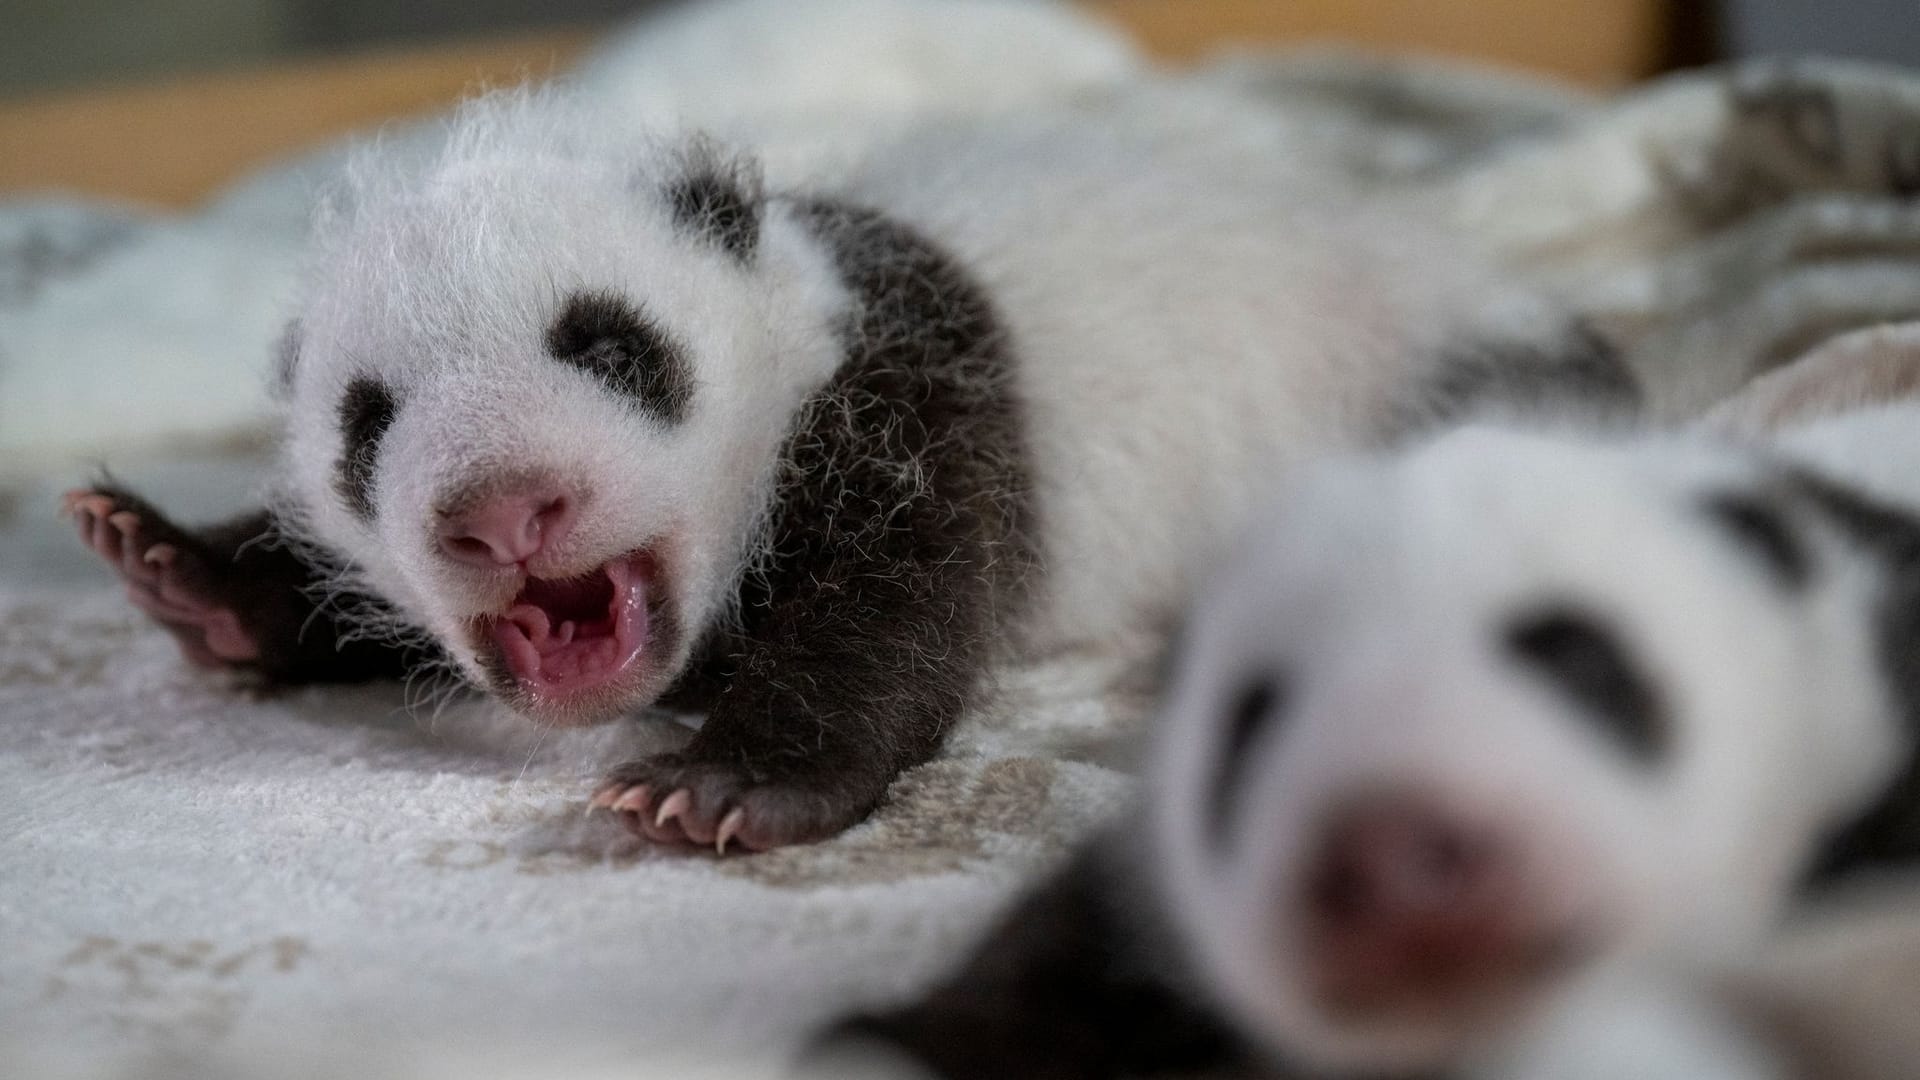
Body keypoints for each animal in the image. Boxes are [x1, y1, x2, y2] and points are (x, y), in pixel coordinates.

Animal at [60, 88, 1628, 849]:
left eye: (609, 345)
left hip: (1403, 370)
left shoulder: (911, 391)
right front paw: (179, 567)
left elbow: (901, 602)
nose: (503, 514)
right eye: (366, 421)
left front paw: (727, 785)